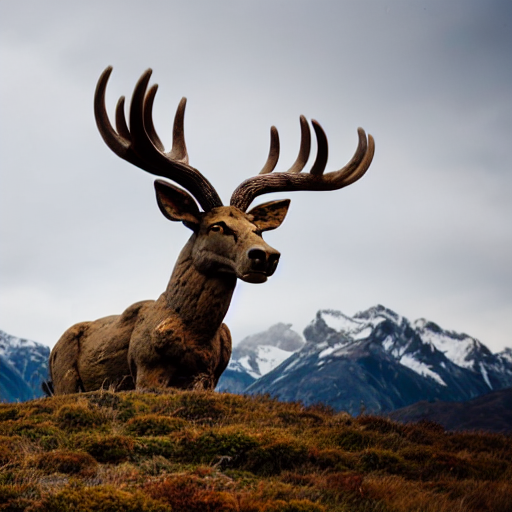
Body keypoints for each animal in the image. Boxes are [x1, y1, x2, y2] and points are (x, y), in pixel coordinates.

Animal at [47, 67, 376, 396]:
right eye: (216, 226)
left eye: (258, 229)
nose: (266, 256)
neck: (194, 338)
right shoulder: (146, 367)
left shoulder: (210, 376)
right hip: (64, 375)